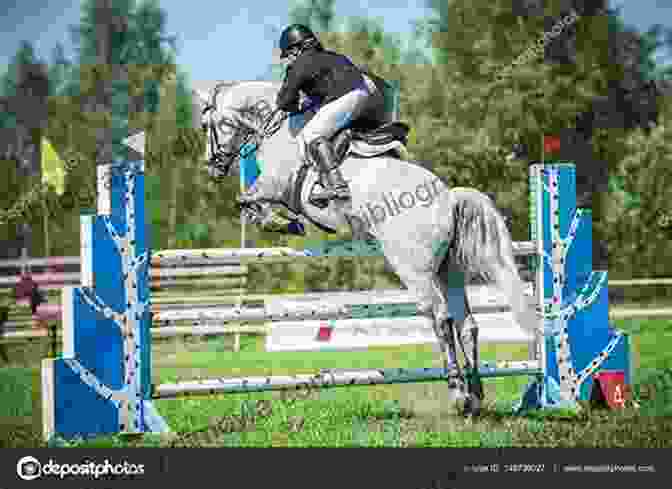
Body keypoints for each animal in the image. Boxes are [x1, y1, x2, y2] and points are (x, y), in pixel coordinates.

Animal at [192, 81, 540, 416]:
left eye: (207, 125)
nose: (211, 167)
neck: (276, 127)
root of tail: (448, 199)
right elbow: (249, 203)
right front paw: (285, 221)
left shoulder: (275, 184)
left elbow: (247, 201)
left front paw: (281, 222)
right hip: (448, 272)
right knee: (466, 324)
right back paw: (477, 396)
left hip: (414, 270)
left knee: (441, 319)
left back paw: (459, 395)